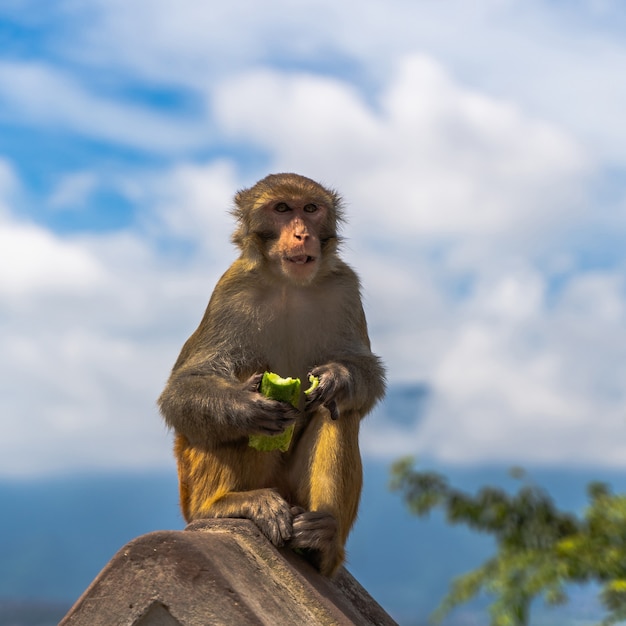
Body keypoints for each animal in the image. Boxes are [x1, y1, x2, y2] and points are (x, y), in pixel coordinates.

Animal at [158, 172, 382, 576]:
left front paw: (338, 377)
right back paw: (225, 503)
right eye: (281, 209)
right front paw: (244, 406)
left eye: (310, 208)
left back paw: (323, 540)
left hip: (293, 494)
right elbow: (181, 390)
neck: (288, 283)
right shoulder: (230, 291)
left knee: (340, 412)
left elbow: (365, 376)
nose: (301, 234)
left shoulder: (345, 287)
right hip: (193, 493)